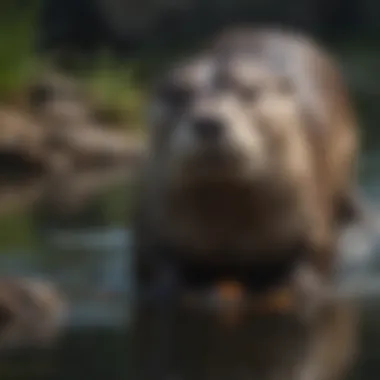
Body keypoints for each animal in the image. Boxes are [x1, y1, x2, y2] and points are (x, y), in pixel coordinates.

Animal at [133, 27, 360, 294]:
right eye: (179, 94)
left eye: (249, 91)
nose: (208, 122)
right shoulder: (152, 222)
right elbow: (152, 260)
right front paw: (170, 286)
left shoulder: (312, 219)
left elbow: (317, 255)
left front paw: (299, 285)